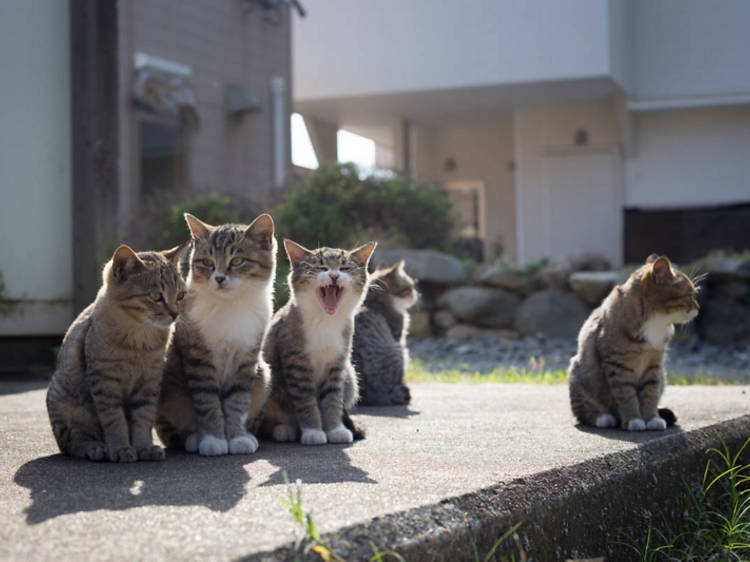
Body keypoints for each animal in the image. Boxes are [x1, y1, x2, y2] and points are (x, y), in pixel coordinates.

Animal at [47, 244, 187, 460]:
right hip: (66, 407)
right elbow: (114, 420)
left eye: (180, 296)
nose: (175, 314)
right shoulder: (105, 382)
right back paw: (95, 447)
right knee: (73, 441)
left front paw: (144, 447)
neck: (140, 342)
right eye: (156, 296)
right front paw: (121, 448)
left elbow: (143, 418)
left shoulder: (150, 382)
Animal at [156, 212, 276, 452]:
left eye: (237, 261)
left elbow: (238, 401)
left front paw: (237, 438)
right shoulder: (199, 358)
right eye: (207, 262)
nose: (219, 278)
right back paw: (194, 438)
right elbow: (207, 401)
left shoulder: (248, 359)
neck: (230, 304)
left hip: (262, 374)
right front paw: (213, 439)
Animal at [266, 238, 382, 444]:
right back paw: (283, 429)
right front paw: (313, 431)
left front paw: (336, 429)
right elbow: (306, 400)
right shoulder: (297, 362)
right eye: (320, 267)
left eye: (344, 268)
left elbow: (333, 399)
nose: (334, 275)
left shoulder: (338, 362)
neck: (325, 321)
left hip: (350, 375)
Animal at [572, 254, 704, 428]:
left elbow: (650, 393)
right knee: (583, 413)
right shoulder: (618, 365)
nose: (699, 308)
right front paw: (634, 419)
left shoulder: (654, 364)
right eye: (689, 295)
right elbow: (626, 395)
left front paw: (652, 418)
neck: (656, 321)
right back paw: (603, 418)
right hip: (579, 377)